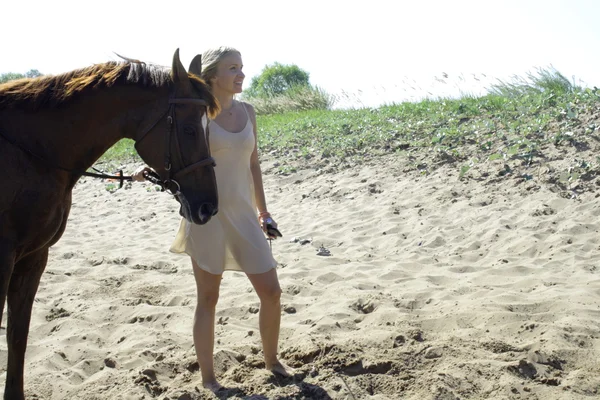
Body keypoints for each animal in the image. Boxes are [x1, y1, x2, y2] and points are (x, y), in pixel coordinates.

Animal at [0, 48, 221, 398]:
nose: (208, 207)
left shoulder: (33, 258)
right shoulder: (3, 259)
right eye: (188, 130)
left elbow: (18, 337)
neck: (31, 152)